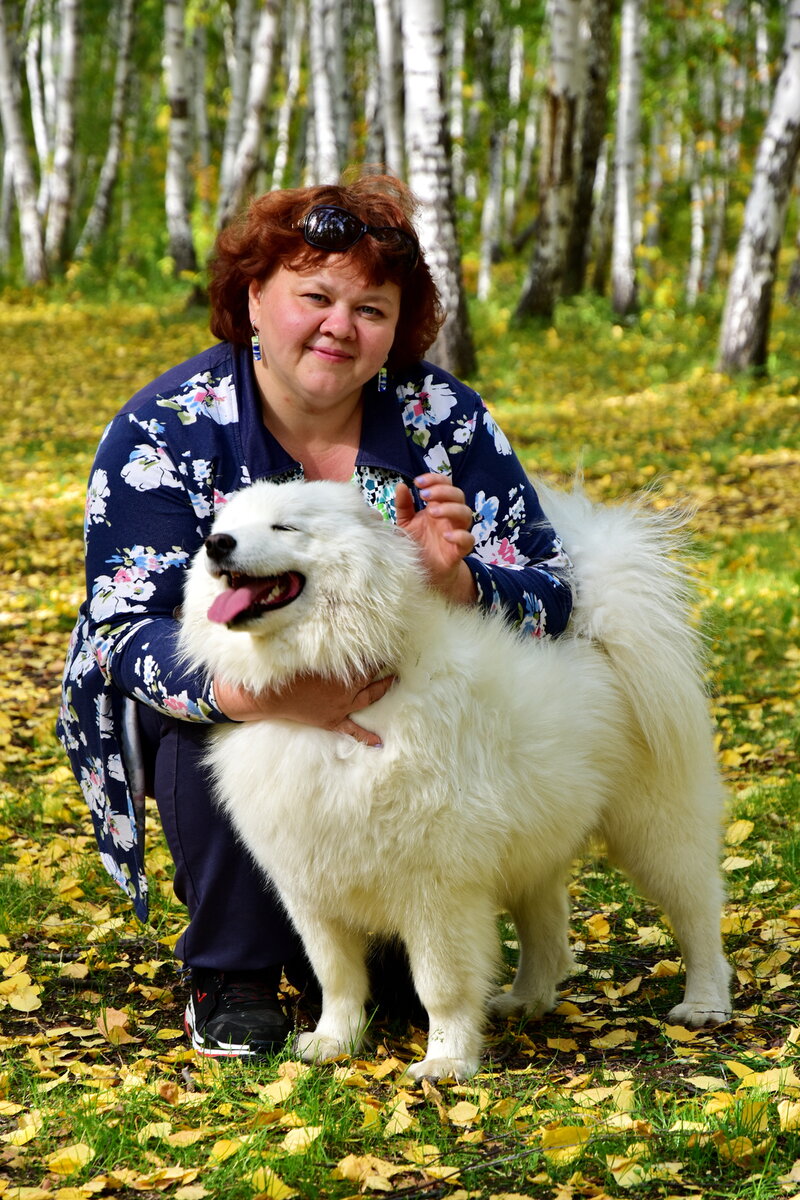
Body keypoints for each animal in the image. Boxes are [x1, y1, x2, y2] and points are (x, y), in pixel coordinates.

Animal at [179, 480, 734, 1089]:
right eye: (224, 527)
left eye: (284, 527)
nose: (216, 544)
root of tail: (599, 636)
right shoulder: (311, 888)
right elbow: (337, 977)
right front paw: (333, 1042)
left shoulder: (437, 890)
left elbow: (440, 985)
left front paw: (446, 1060)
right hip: (533, 842)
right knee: (547, 926)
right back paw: (528, 998)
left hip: (655, 830)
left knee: (697, 913)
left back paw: (705, 1003)